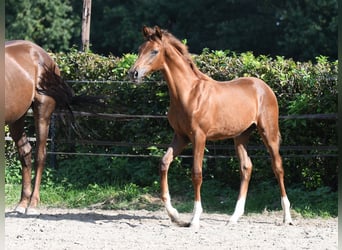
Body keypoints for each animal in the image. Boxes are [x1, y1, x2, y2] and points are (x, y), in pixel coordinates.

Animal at [4, 40, 74, 215]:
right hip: (17, 118)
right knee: (25, 152)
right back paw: (22, 203)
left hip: (42, 112)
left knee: (40, 155)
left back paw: (33, 204)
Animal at [130, 26, 292, 229]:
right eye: (139, 49)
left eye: (154, 51)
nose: (133, 73)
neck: (188, 94)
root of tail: (264, 87)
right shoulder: (180, 137)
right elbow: (164, 163)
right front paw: (175, 215)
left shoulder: (199, 136)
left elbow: (197, 173)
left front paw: (194, 218)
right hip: (241, 135)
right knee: (246, 167)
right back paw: (234, 217)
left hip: (268, 132)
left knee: (278, 167)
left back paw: (287, 217)